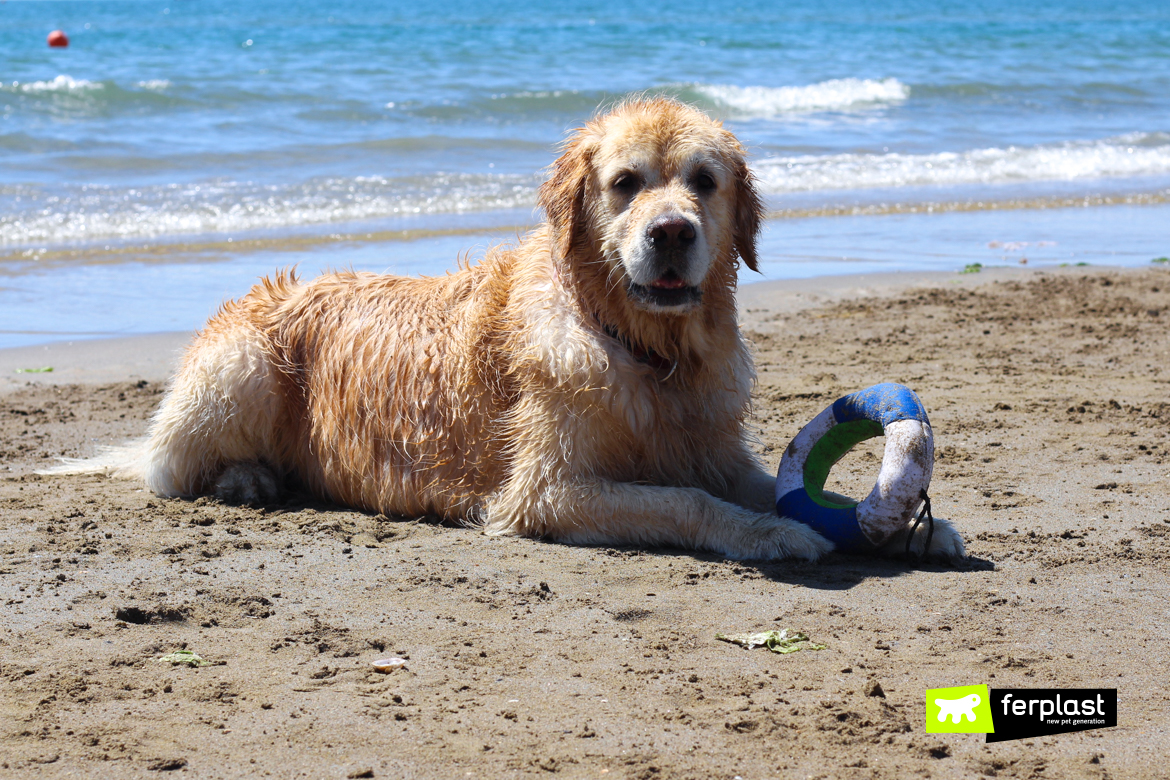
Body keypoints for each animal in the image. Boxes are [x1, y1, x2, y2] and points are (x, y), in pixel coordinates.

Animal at [70, 99, 968, 561]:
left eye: (704, 181)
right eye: (626, 182)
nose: (671, 232)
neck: (645, 352)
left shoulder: (712, 445)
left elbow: (777, 487)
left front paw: (915, 526)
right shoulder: (545, 490)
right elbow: (685, 502)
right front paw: (776, 534)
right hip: (244, 363)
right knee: (166, 467)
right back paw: (245, 478)